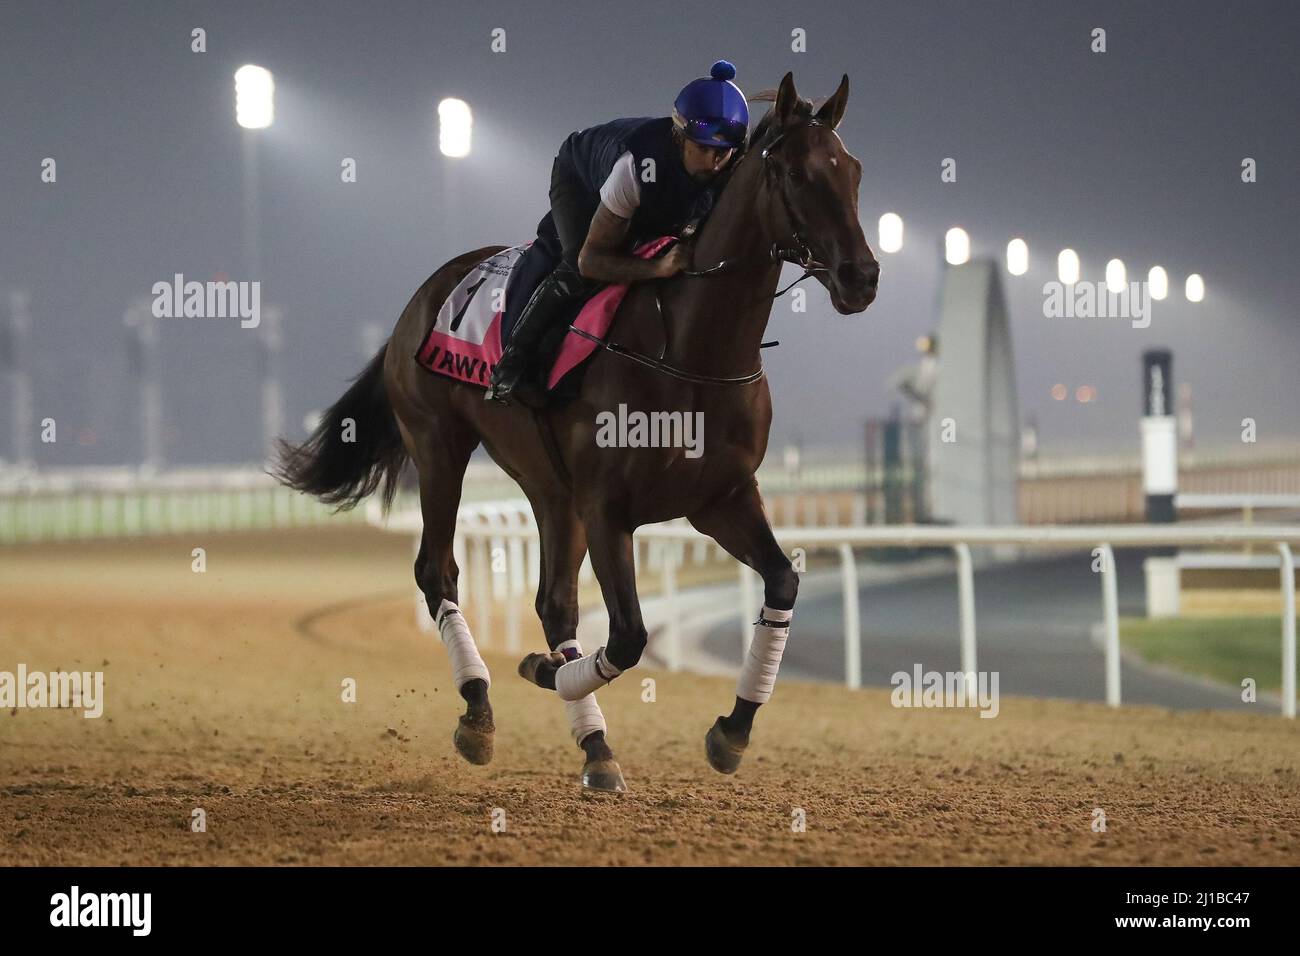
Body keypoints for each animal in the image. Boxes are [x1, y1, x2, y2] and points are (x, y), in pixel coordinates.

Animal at [278, 70, 878, 790]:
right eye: (792, 173)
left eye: (852, 170)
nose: (861, 277)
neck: (692, 351)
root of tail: (426, 293)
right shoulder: (608, 508)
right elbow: (628, 636)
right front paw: (541, 671)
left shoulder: (721, 499)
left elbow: (782, 582)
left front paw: (732, 730)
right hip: (439, 445)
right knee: (438, 572)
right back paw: (480, 708)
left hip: (549, 487)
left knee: (553, 601)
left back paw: (593, 744)